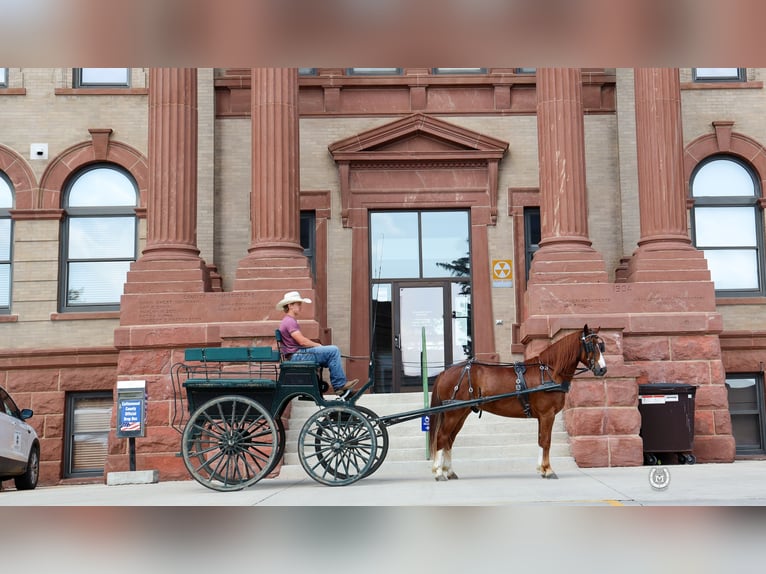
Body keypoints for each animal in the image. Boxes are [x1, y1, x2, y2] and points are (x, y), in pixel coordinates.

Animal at [432, 326, 608, 484]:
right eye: (590, 345)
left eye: (601, 346)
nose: (603, 369)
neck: (549, 373)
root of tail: (444, 372)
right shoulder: (547, 414)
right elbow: (546, 441)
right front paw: (548, 470)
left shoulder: (542, 417)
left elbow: (540, 440)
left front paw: (542, 469)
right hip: (453, 413)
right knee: (442, 437)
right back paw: (439, 472)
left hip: (461, 413)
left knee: (449, 440)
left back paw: (449, 471)